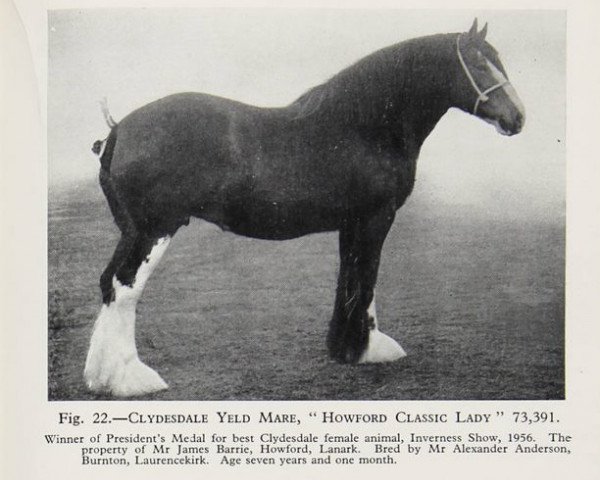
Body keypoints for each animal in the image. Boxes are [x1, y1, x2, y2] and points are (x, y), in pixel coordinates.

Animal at [84, 19, 524, 398]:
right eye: (478, 63)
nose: (517, 118)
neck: (362, 127)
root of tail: (119, 130)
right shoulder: (376, 217)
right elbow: (368, 277)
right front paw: (368, 349)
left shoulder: (353, 222)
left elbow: (353, 278)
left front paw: (349, 347)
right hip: (154, 230)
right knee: (125, 287)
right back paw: (131, 379)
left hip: (132, 232)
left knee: (108, 284)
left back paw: (100, 378)